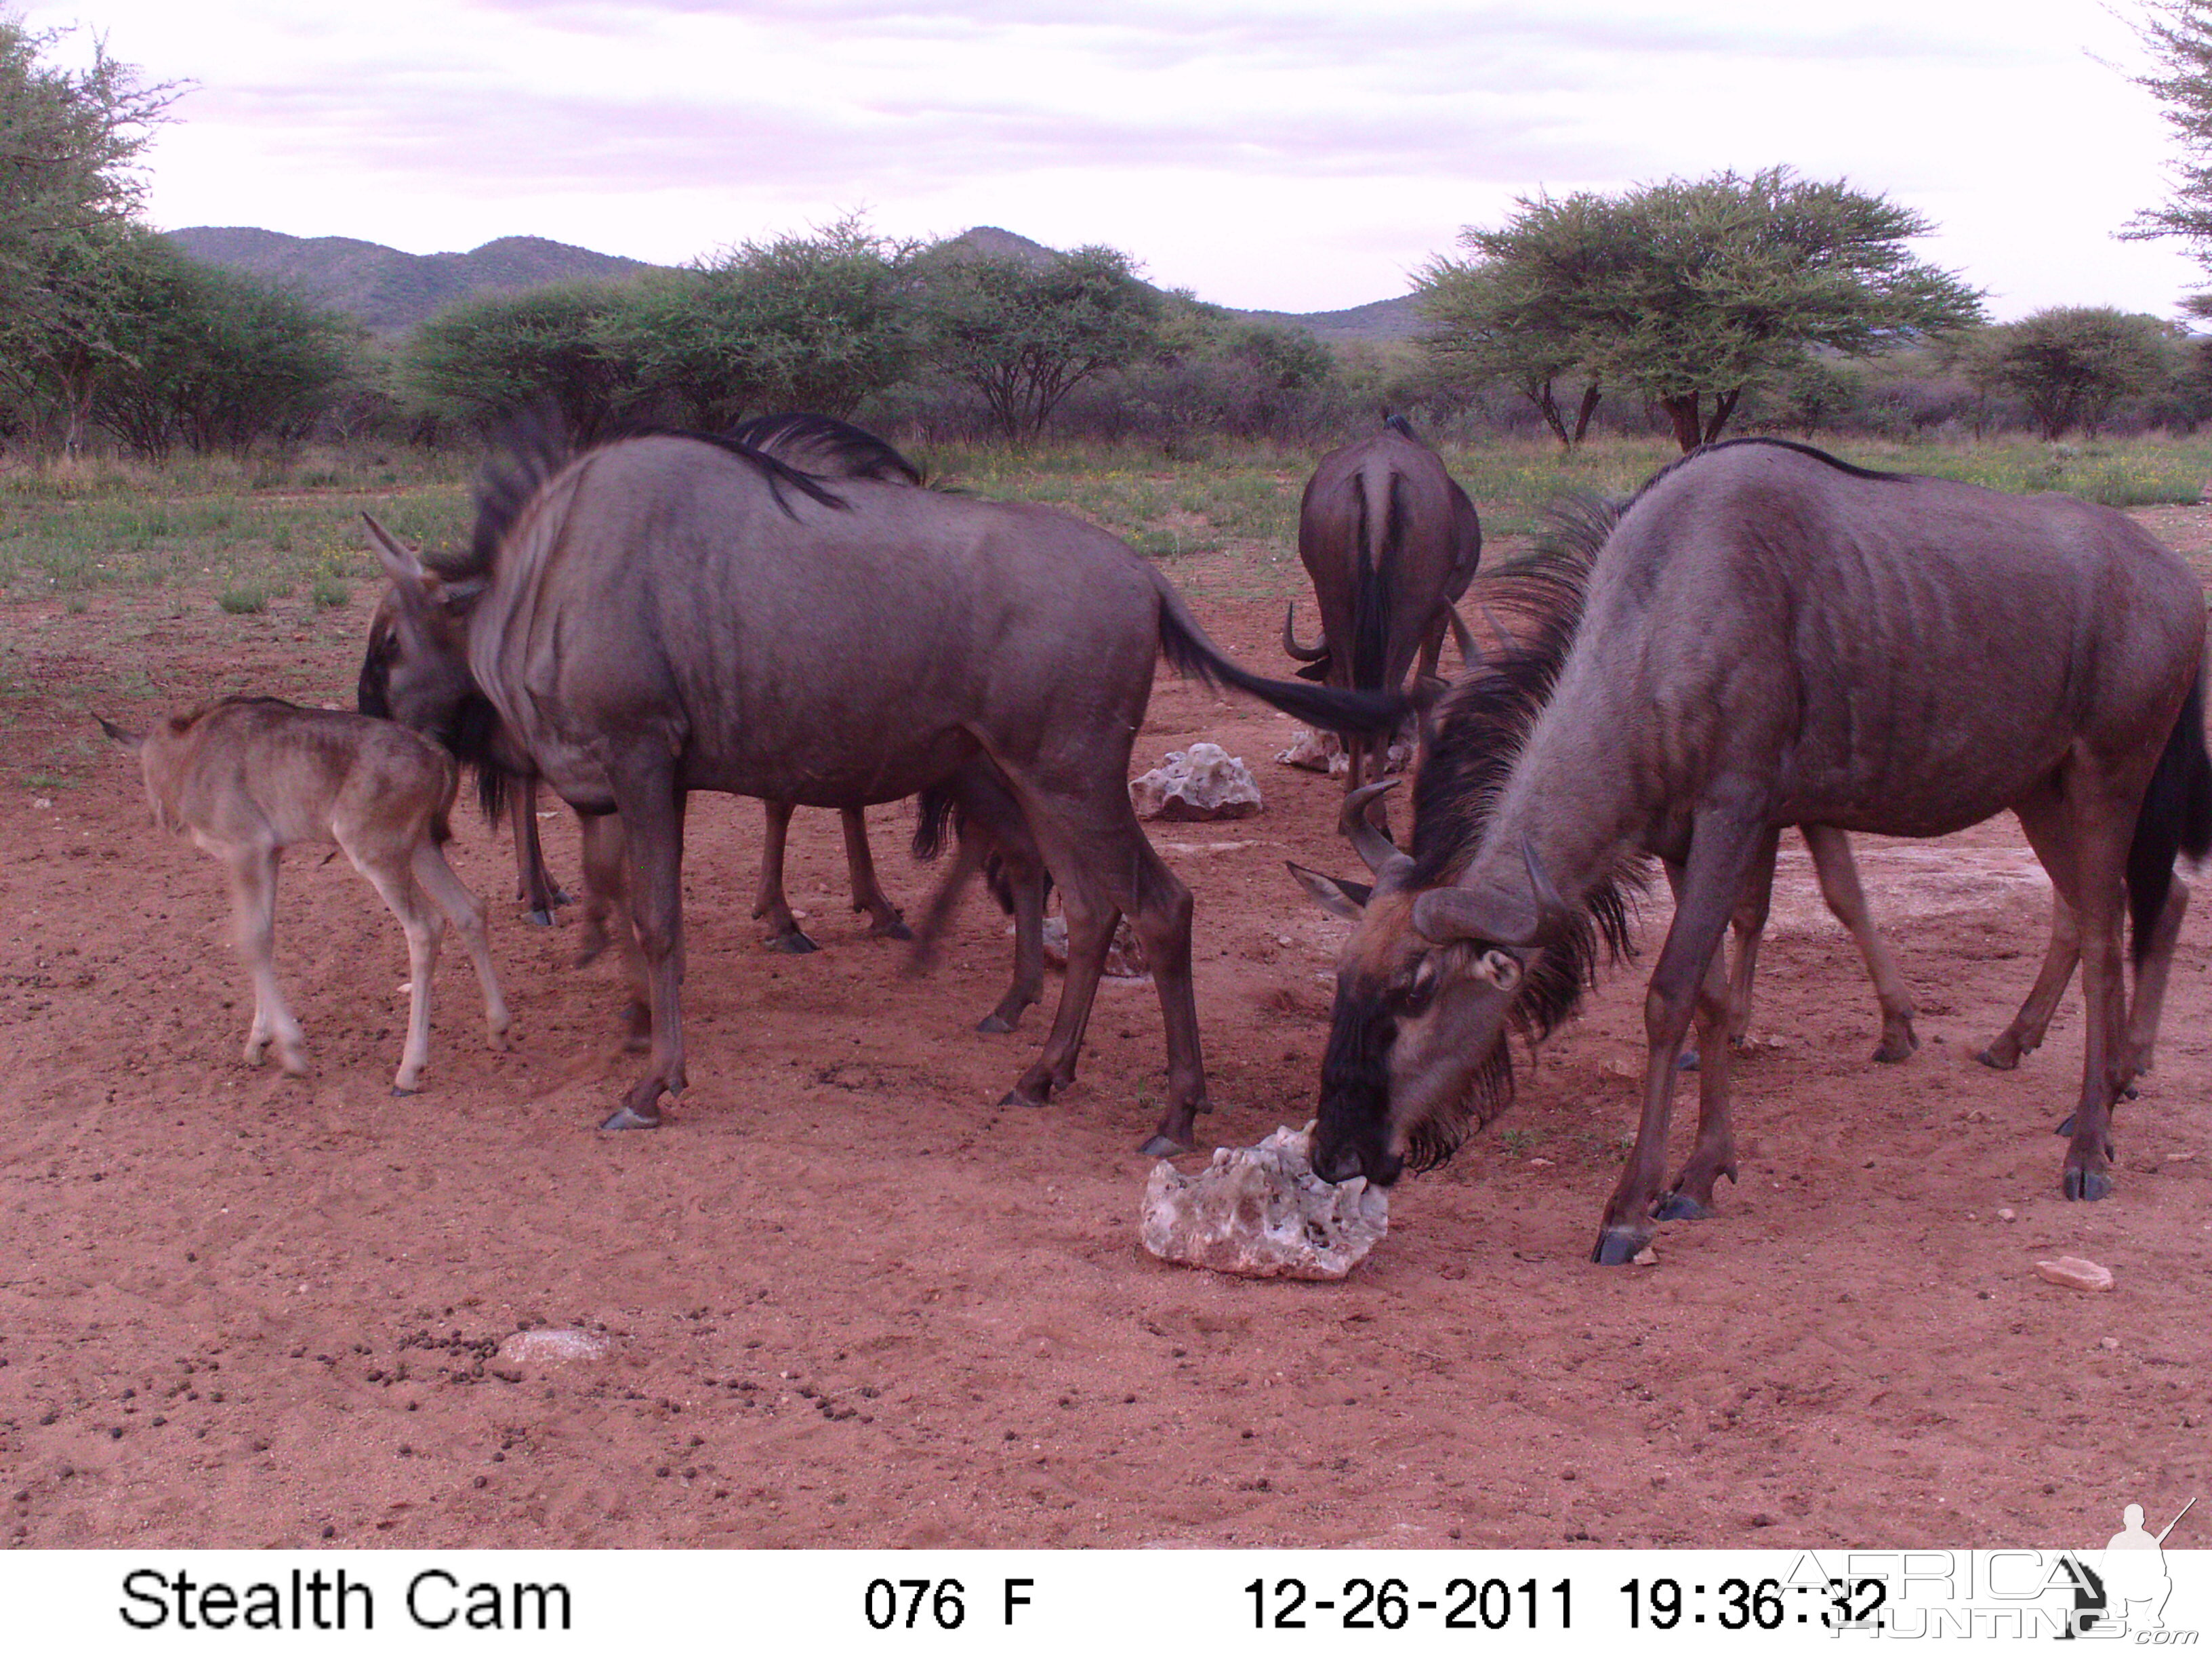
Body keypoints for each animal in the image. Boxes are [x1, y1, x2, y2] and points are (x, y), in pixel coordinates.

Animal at [99, 699, 508, 1097]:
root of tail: (438, 758)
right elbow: (265, 935)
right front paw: (259, 1041)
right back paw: (498, 1028)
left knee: (426, 927)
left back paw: (409, 1069)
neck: (188, 753)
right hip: (421, 847)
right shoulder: (271, 852)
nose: (159, 816)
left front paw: (292, 1051)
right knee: (469, 909)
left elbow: (250, 939)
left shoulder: (246, 846)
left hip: (377, 852)